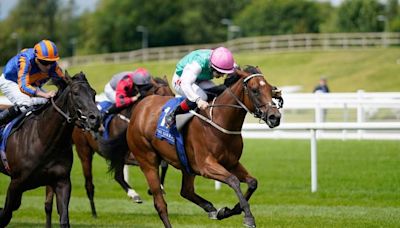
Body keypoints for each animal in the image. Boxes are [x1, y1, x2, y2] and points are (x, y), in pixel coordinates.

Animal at [0, 71, 100, 228]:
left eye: (93, 93)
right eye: (75, 93)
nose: (95, 118)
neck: (43, 140)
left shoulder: (62, 181)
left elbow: (63, 219)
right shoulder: (15, 183)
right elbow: (5, 215)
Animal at [58, 76, 173, 219]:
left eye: (173, 94)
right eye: (162, 95)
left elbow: (163, 164)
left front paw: (158, 187)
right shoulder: (125, 154)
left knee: (117, 176)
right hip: (84, 151)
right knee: (90, 183)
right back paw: (95, 212)